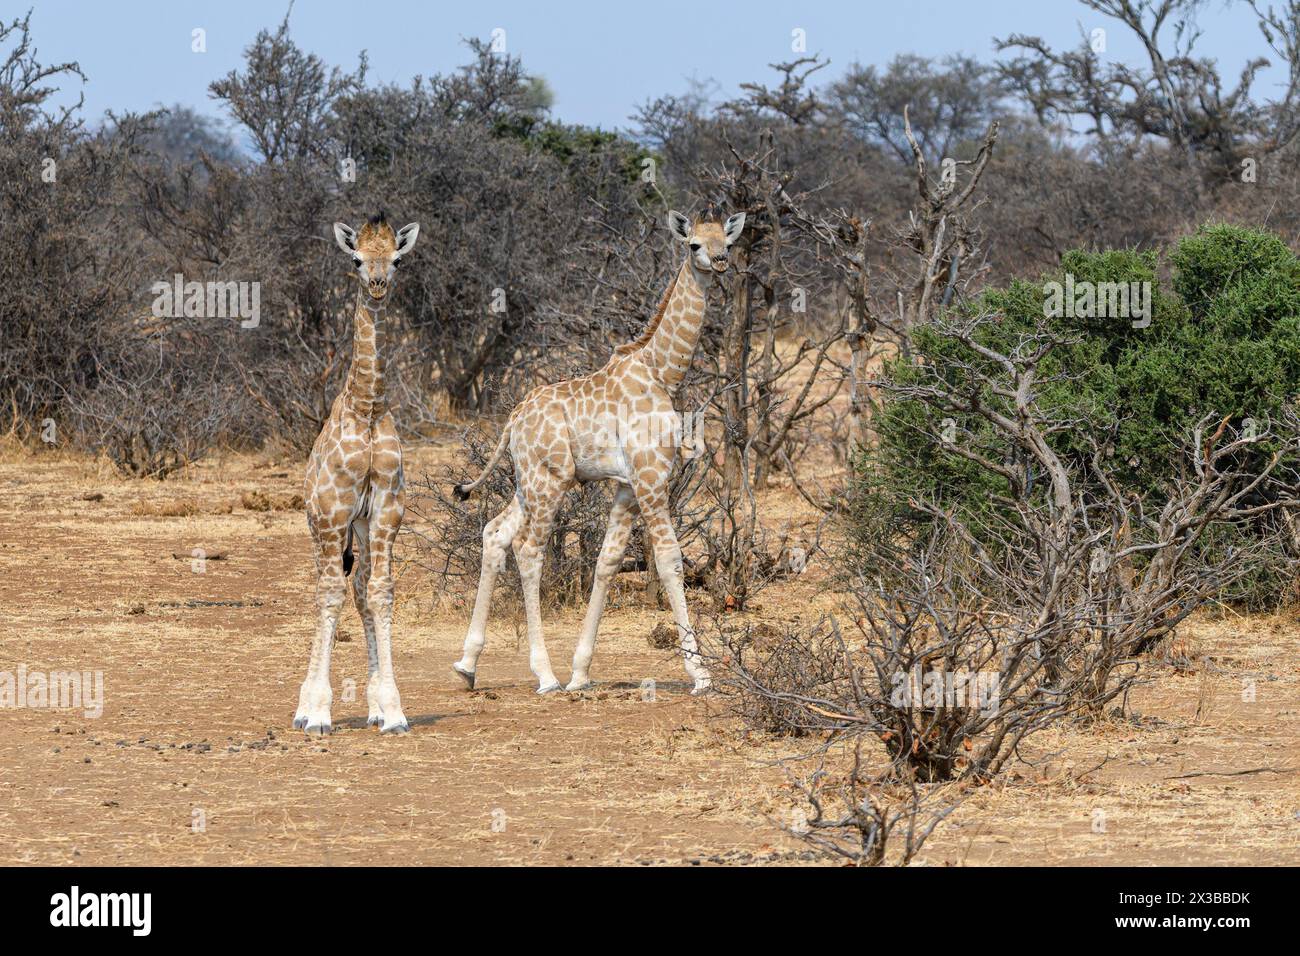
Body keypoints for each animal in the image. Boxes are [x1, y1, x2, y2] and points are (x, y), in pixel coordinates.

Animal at [452, 209, 745, 695]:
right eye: (694, 244)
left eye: (727, 239)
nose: (721, 262)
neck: (662, 373)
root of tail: (512, 421)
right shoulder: (651, 478)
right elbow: (669, 561)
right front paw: (700, 675)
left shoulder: (627, 485)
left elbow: (607, 562)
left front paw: (581, 672)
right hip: (550, 482)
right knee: (528, 551)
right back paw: (543, 674)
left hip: (526, 482)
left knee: (495, 534)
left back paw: (467, 664)